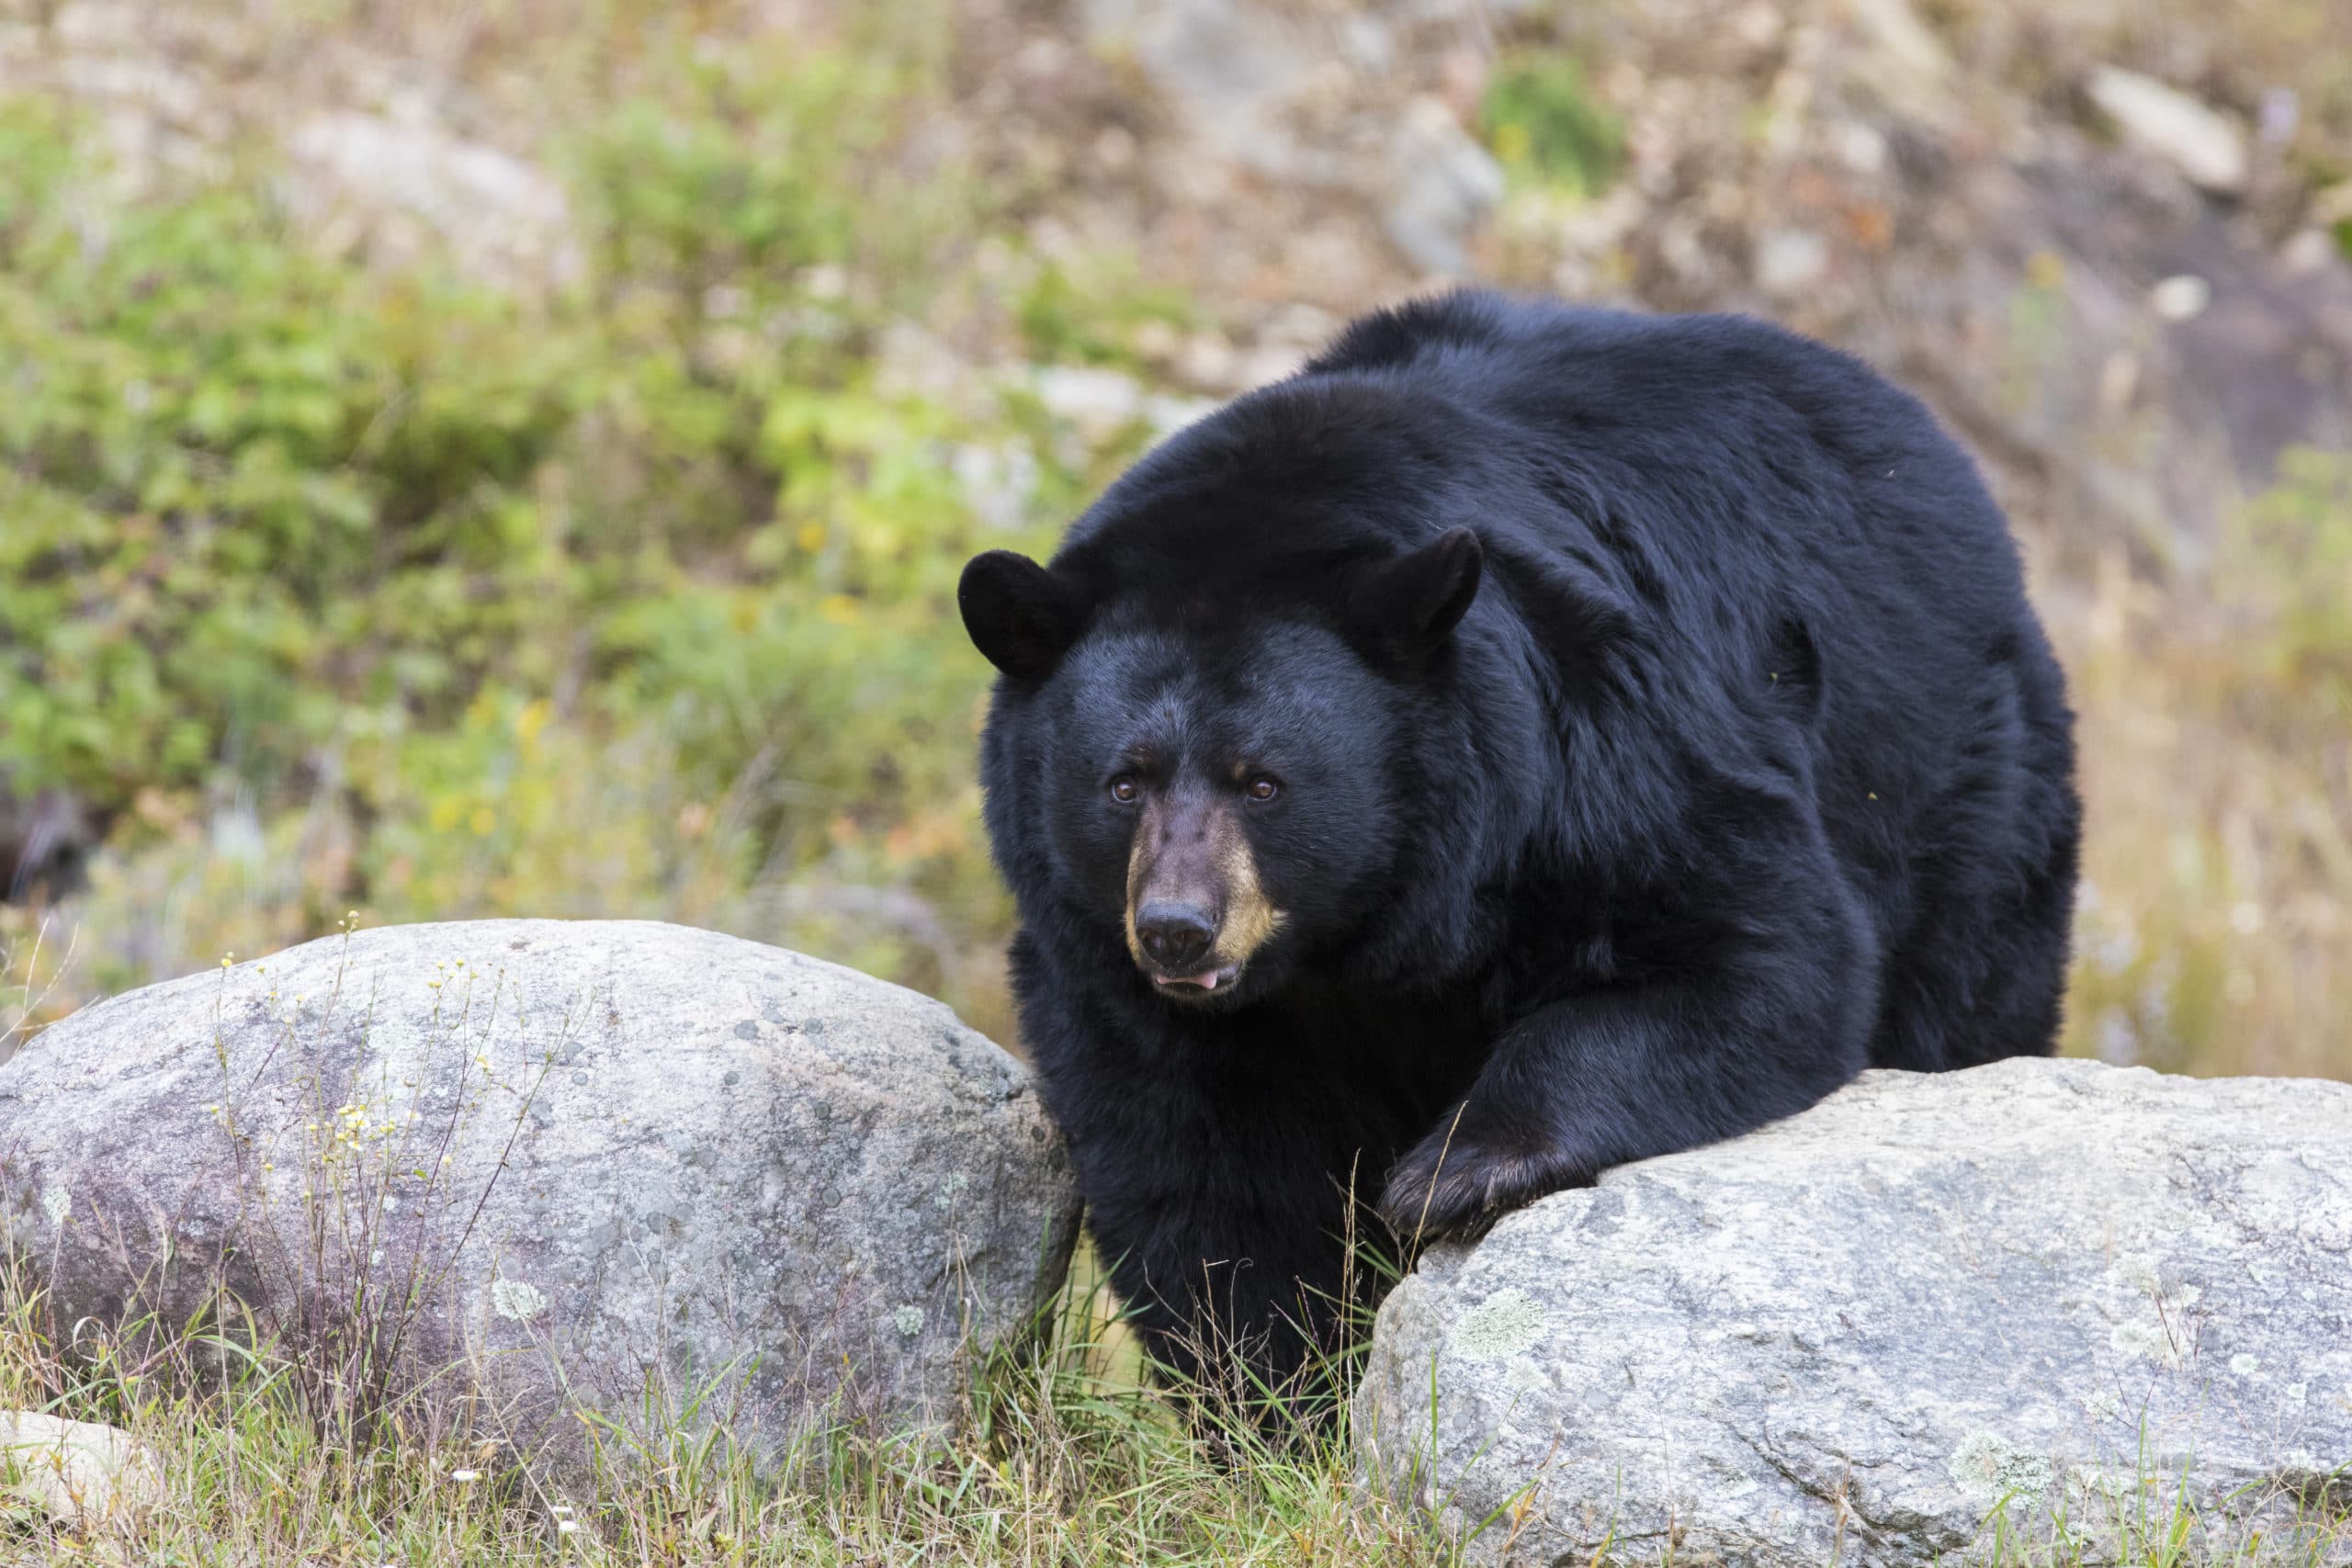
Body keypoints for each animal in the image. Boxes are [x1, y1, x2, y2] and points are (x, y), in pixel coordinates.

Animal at [958, 290, 2081, 1413]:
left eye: (1263, 782)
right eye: (1124, 780)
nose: (1178, 931)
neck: (1360, 935)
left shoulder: (1591, 743)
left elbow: (1758, 945)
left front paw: (1456, 1171)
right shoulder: (1105, 956)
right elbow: (1195, 1160)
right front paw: (1276, 1396)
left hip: (1948, 784)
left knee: (1958, 987)